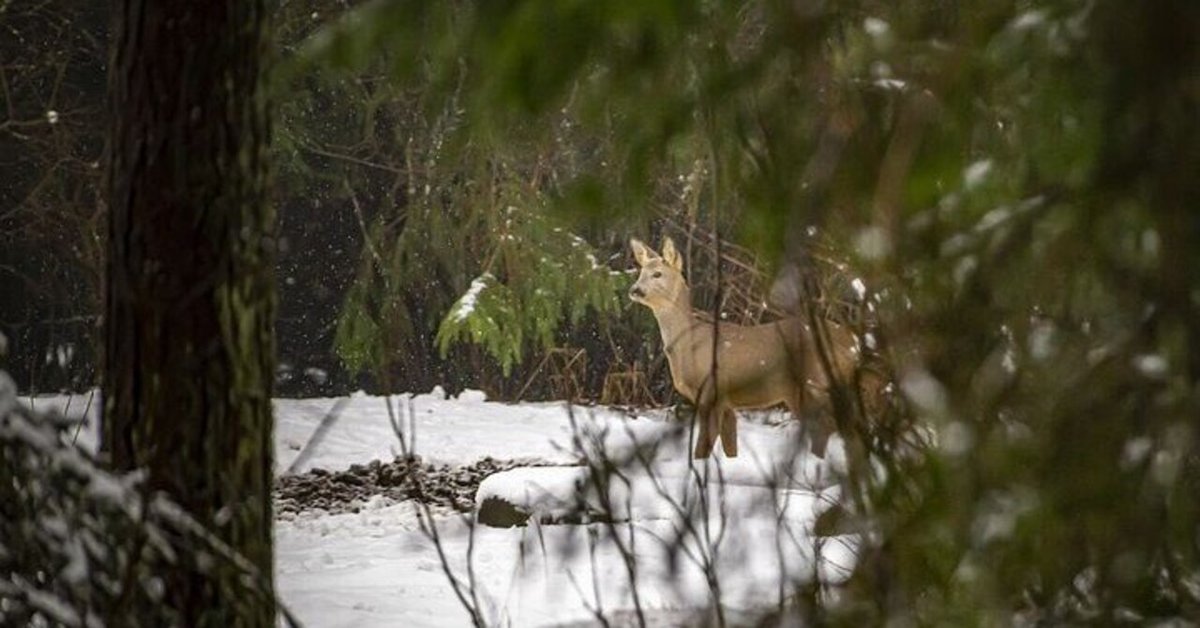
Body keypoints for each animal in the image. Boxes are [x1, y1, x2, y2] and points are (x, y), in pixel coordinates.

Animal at [628, 238, 864, 458]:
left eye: (657, 274)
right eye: (641, 272)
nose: (634, 289)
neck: (689, 345)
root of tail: (853, 342)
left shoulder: (712, 391)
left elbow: (702, 448)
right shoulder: (727, 402)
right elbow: (730, 447)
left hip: (817, 381)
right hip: (800, 392)